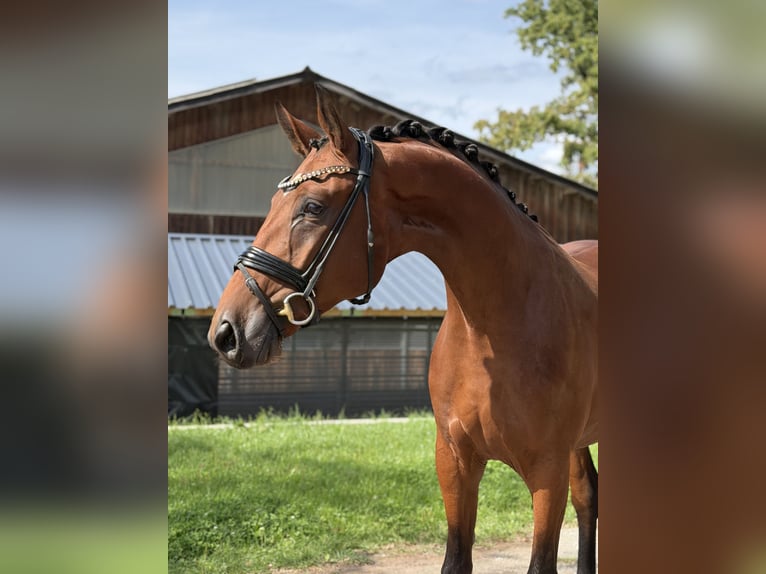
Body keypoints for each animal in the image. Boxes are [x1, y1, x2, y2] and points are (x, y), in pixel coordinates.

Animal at [208, 85, 598, 574]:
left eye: (312, 207)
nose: (226, 332)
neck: (495, 327)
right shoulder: (454, 463)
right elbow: (456, 559)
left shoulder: (546, 473)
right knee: (588, 495)